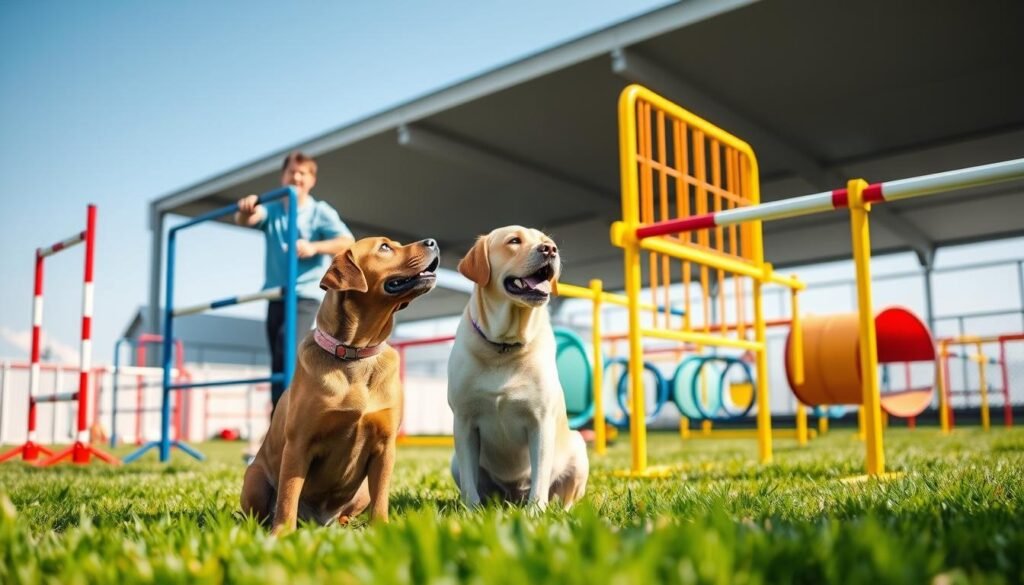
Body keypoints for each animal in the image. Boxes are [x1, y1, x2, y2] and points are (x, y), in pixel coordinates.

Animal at [244, 236, 444, 536]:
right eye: (385, 247)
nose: (432, 241)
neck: (355, 353)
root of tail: (319, 520)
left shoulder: (385, 446)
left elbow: (381, 498)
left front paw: (382, 529)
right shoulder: (299, 443)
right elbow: (288, 495)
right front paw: (281, 534)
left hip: (360, 492)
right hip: (253, 478)